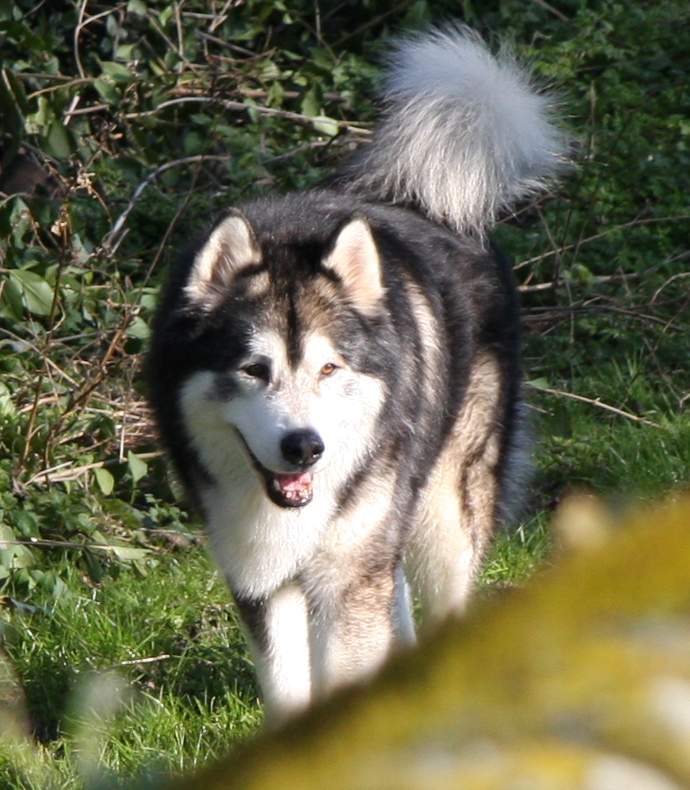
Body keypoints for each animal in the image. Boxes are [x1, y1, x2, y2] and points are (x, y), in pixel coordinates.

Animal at [148, 27, 568, 724]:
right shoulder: (261, 578)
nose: (305, 447)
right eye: (253, 369)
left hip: (446, 511)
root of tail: (419, 192)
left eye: (329, 368)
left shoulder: (346, 575)